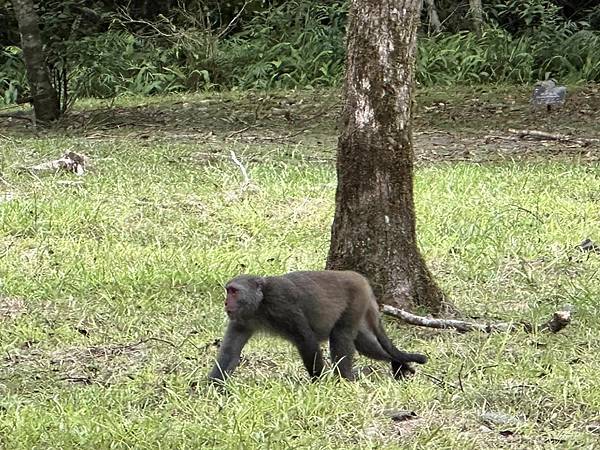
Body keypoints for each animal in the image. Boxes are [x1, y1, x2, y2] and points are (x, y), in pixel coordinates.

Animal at [211, 270, 426, 384]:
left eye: (234, 291)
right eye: (228, 291)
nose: (226, 302)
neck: (260, 304)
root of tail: (358, 277)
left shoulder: (282, 305)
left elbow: (306, 339)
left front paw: (317, 382)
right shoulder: (241, 320)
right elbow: (229, 352)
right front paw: (212, 388)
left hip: (356, 300)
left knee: (341, 336)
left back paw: (345, 378)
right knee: (365, 344)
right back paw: (397, 363)